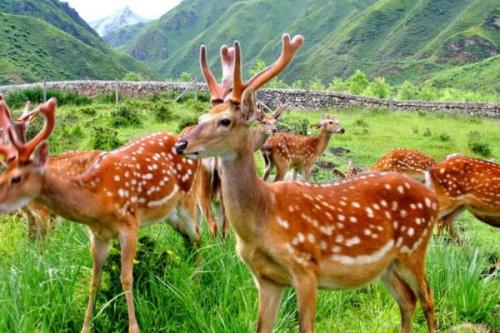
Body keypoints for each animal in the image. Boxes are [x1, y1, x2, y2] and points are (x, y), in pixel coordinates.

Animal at [0, 97, 204, 330]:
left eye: (16, 177)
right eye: (4, 171)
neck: (97, 202)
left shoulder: (129, 225)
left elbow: (126, 278)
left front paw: (134, 328)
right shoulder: (98, 235)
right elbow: (94, 281)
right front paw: (85, 327)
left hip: (188, 199)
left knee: (199, 235)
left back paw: (197, 281)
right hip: (168, 213)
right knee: (189, 236)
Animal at [176, 34, 438, 332]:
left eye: (225, 120)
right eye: (201, 118)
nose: (181, 144)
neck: (263, 216)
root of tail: (433, 198)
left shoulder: (306, 268)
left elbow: (306, 326)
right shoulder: (266, 279)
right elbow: (262, 327)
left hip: (414, 249)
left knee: (428, 297)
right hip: (386, 264)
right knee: (407, 300)